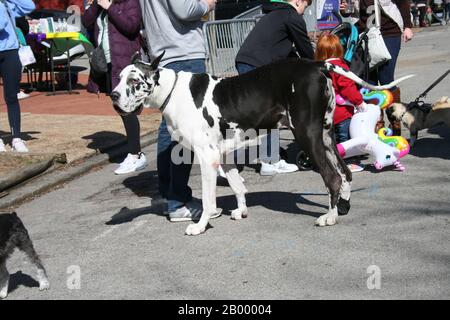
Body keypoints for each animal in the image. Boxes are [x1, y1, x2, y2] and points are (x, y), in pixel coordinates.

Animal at [111, 53, 412, 235]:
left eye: (135, 81)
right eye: (119, 78)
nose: (113, 95)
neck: (173, 92)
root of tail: (317, 64)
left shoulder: (207, 158)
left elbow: (208, 200)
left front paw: (200, 226)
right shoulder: (223, 156)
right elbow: (237, 185)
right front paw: (241, 210)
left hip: (307, 135)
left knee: (332, 177)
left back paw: (330, 217)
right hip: (326, 137)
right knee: (345, 172)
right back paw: (342, 207)